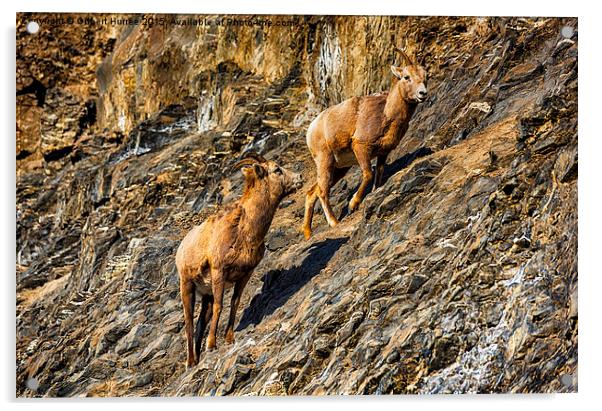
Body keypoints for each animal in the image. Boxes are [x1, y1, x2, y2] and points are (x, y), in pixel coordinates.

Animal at [176, 154, 302, 366]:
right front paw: (212, 345)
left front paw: (229, 338)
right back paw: (191, 361)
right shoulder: (219, 271)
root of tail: (181, 248)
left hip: (206, 294)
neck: (244, 230)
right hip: (187, 285)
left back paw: (198, 358)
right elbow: (220, 306)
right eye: (276, 169)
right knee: (189, 322)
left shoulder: (245, 275)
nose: (299, 178)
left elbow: (234, 303)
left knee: (201, 321)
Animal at [300, 49, 426, 240]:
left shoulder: (383, 153)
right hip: (325, 160)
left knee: (312, 192)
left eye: (426, 76)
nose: (422, 93)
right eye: (406, 77)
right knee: (322, 191)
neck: (386, 114)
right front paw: (353, 205)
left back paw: (308, 232)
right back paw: (334, 222)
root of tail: (312, 128)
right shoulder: (361, 148)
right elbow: (368, 174)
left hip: (339, 168)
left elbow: (378, 174)